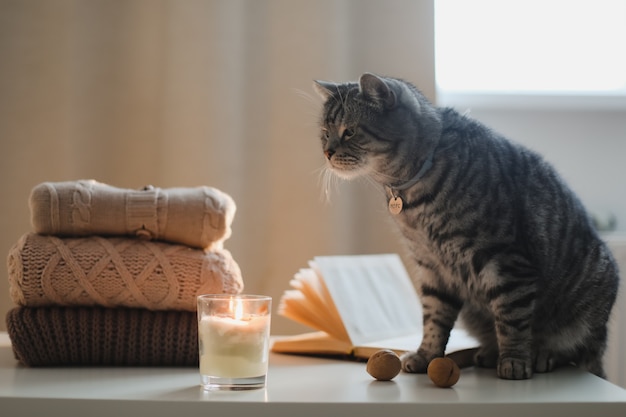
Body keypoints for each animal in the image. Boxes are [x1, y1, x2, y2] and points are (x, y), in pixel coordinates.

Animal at [314, 73, 616, 378]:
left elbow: (511, 320)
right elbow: (434, 319)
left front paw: (514, 360)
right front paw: (426, 354)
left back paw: (544, 354)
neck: (411, 196)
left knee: (578, 351)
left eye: (350, 132)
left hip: (591, 300)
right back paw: (489, 352)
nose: (327, 152)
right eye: (325, 133)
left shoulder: (505, 261)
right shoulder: (432, 268)